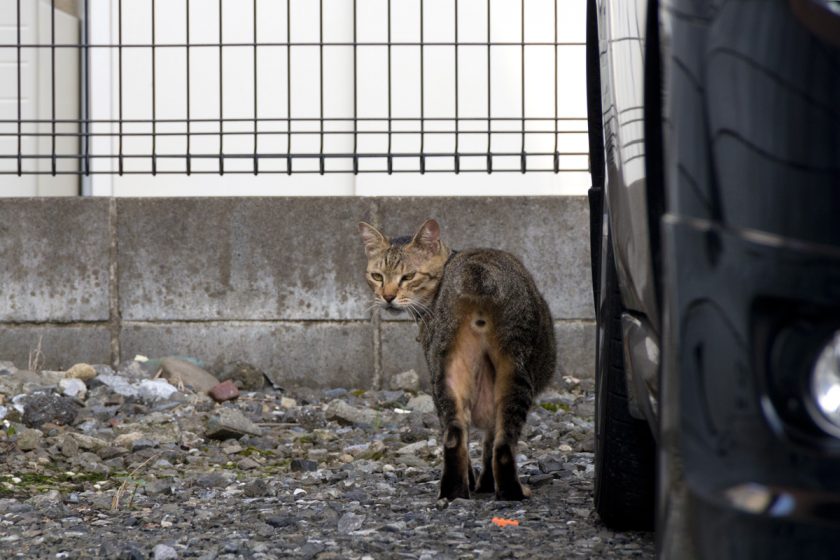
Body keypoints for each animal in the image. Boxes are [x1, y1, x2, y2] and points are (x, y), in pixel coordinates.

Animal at [356, 218, 556, 498]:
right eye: (377, 276)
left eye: (408, 276)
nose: (387, 297)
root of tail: (477, 271)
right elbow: (488, 443)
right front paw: (485, 485)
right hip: (513, 368)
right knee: (502, 445)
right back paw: (510, 493)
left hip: (447, 372)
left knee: (453, 438)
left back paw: (454, 492)